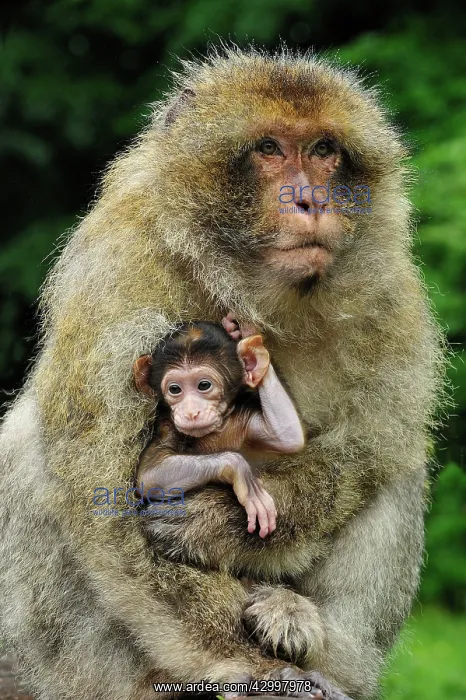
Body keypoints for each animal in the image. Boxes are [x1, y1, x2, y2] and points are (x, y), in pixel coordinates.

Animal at [134, 318, 306, 539]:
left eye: (204, 385)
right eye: (174, 389)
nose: (191, 412)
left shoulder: (241, 421)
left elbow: (286, 437)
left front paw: (243, 333)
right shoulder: (167, 427)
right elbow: (149, 473)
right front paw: (242, 474)